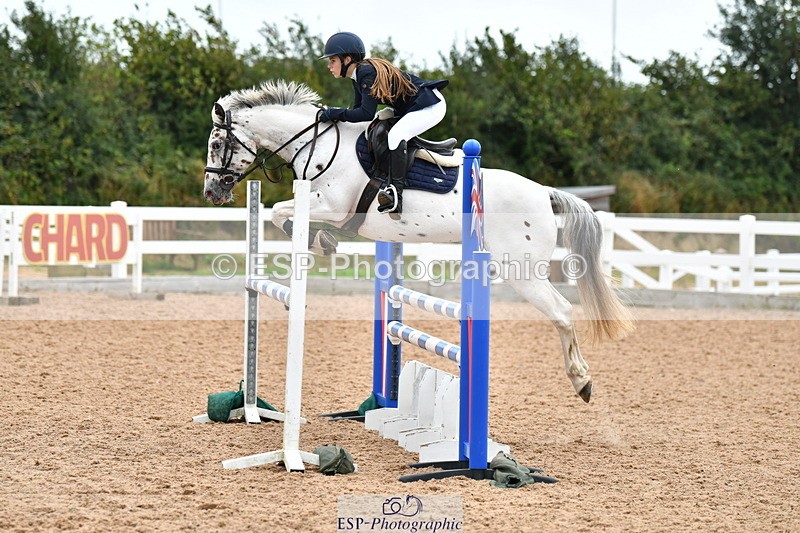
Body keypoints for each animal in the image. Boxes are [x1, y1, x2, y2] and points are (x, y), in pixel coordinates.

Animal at [203, 79, 635, 403]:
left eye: (217, 144)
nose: (212, 193)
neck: (320, 144)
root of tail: (544, 192)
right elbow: (281, 214)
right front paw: (321, 242)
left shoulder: (332, 205)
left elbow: (279, 211)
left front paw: (320, 240)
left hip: (522, 271)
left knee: (562, 311)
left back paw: (582, 381)